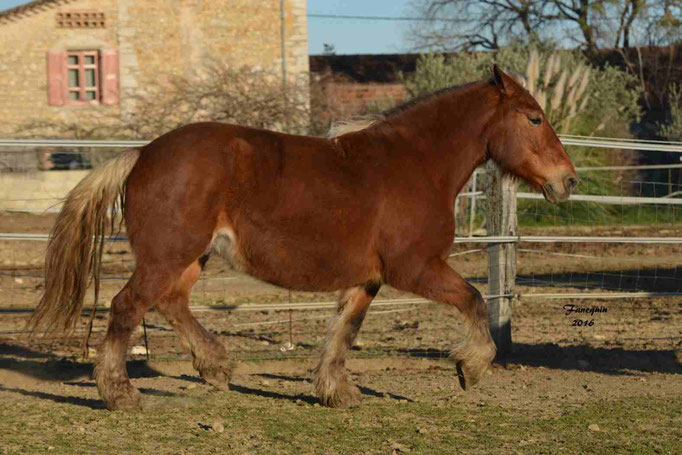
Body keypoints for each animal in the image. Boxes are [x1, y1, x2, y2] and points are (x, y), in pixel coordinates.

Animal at [29, 66, 576, 412]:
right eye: (534, 118)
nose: (567, 181)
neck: (416, 165)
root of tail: (142, 154)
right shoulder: (415, 268)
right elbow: (476, 299)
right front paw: (471, 367)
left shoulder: (367, 279)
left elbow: (343, 332)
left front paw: (337, 393)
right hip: (169, 254)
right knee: (127, 307)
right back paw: (121, 395)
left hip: (188, 257)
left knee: (169, 303)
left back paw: (216, 368)